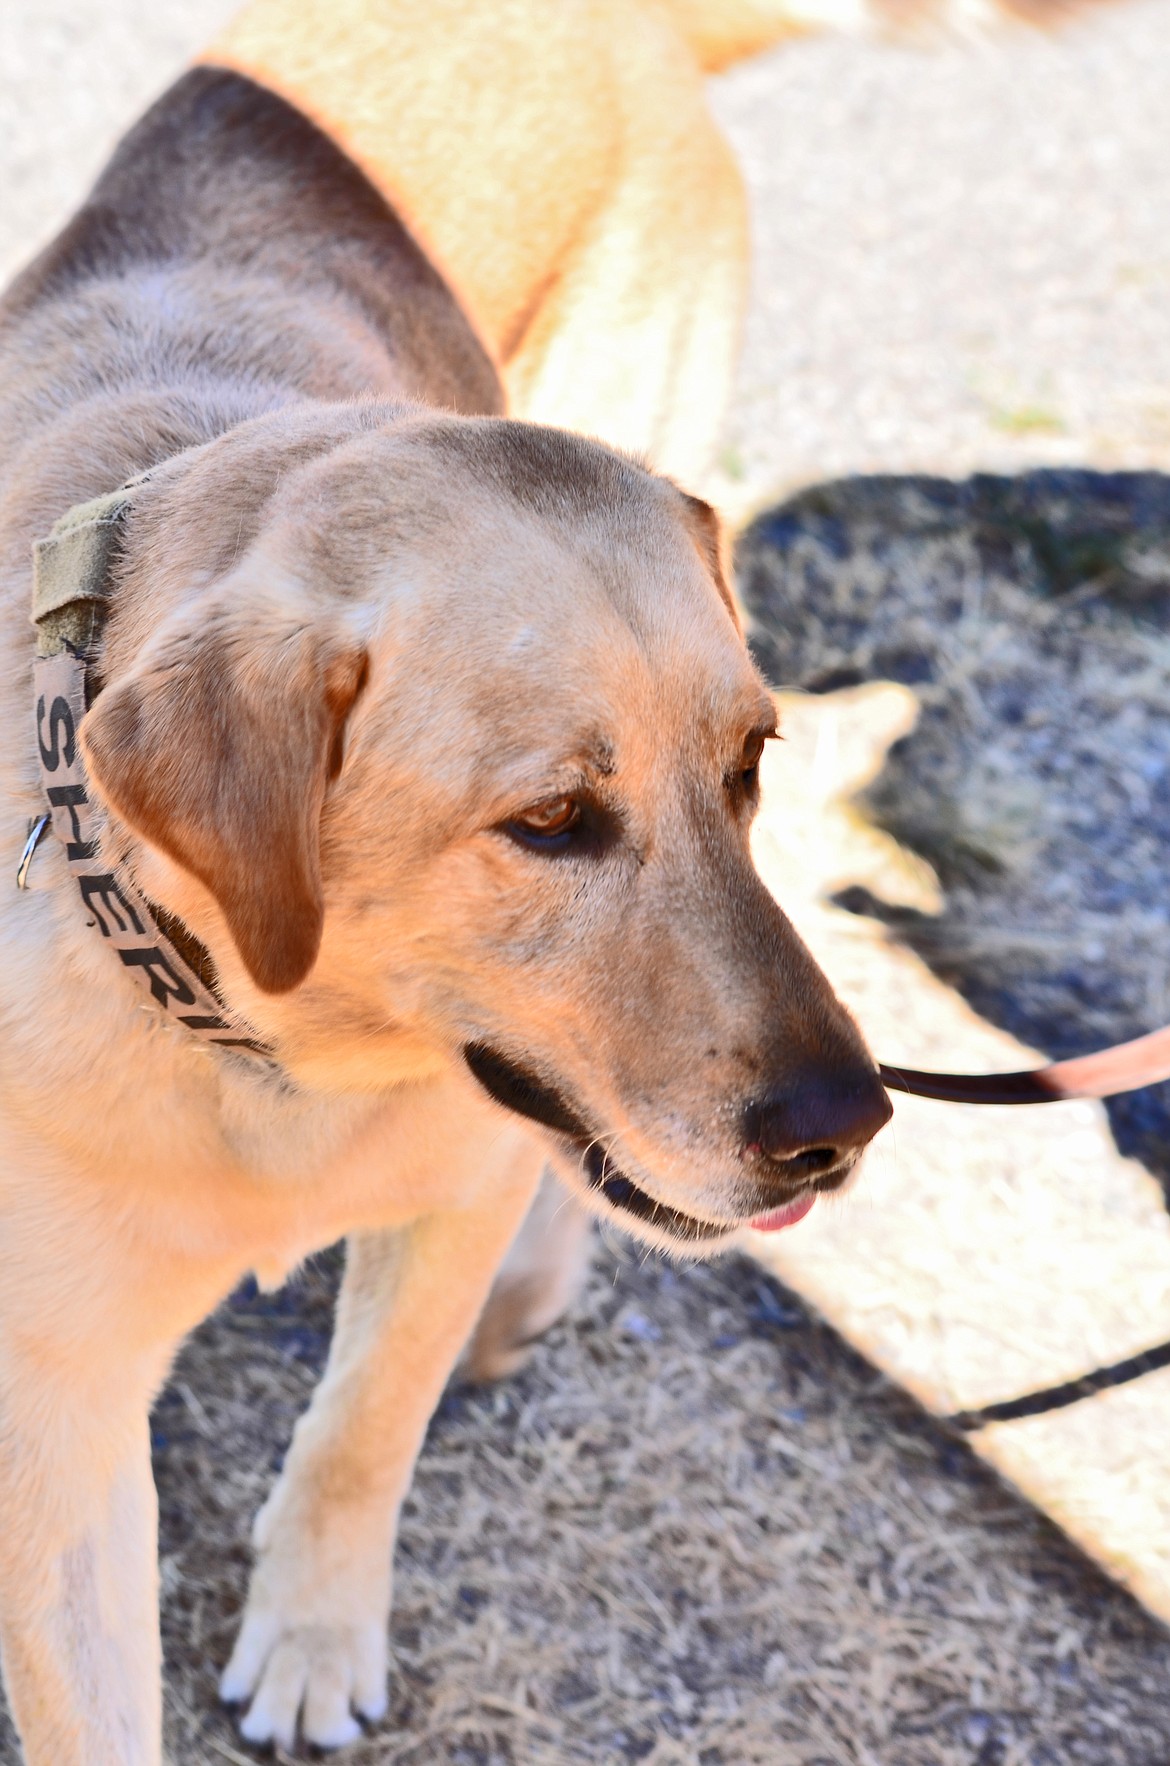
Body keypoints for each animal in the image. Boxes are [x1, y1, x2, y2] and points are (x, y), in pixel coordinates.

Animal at [0, 58, 892, 1766]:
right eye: (548, 822)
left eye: (746, 765)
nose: (843, 1127)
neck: (270, 1046)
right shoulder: (53, 1414)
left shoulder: (460, 1180)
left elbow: (365, 1424)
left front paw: (311, 1637)